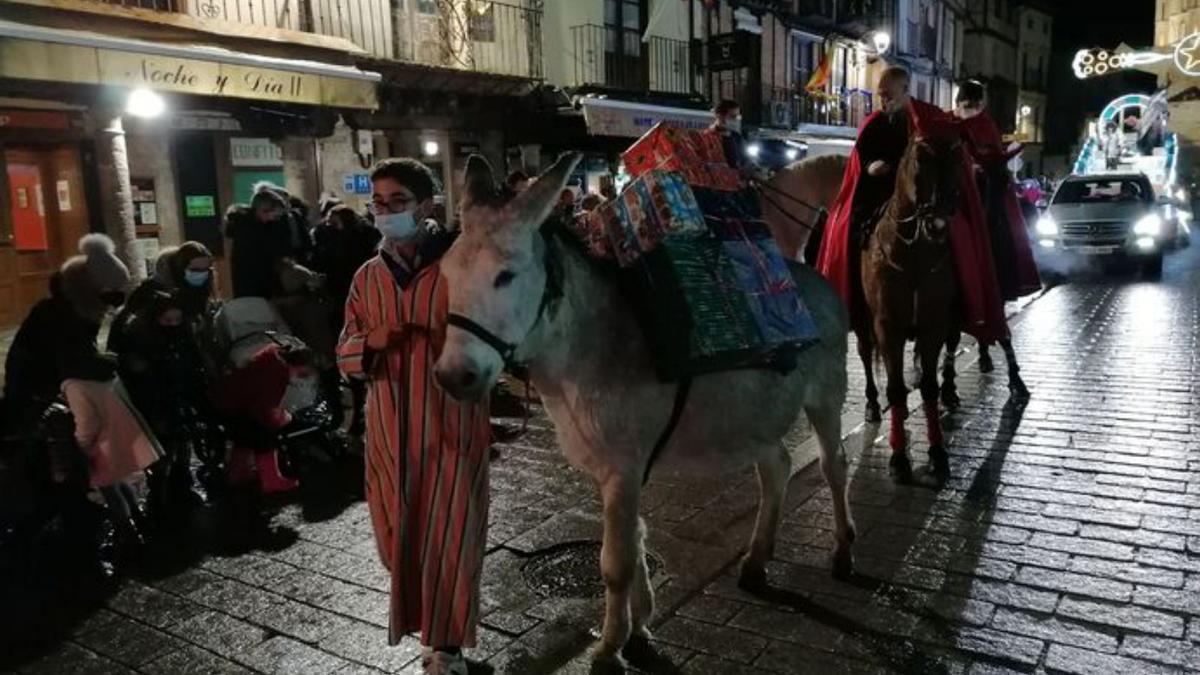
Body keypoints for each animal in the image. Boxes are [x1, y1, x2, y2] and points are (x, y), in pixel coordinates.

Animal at [864, 128, 964, 480]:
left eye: (958, 157)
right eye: (920, 160)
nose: (938, 225)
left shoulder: (934, 325)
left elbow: (929, 387)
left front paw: (937, 452)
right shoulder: (887, 327)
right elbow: (894, 388)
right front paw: (898, 458)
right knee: (865, 357)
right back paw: (872, 404)